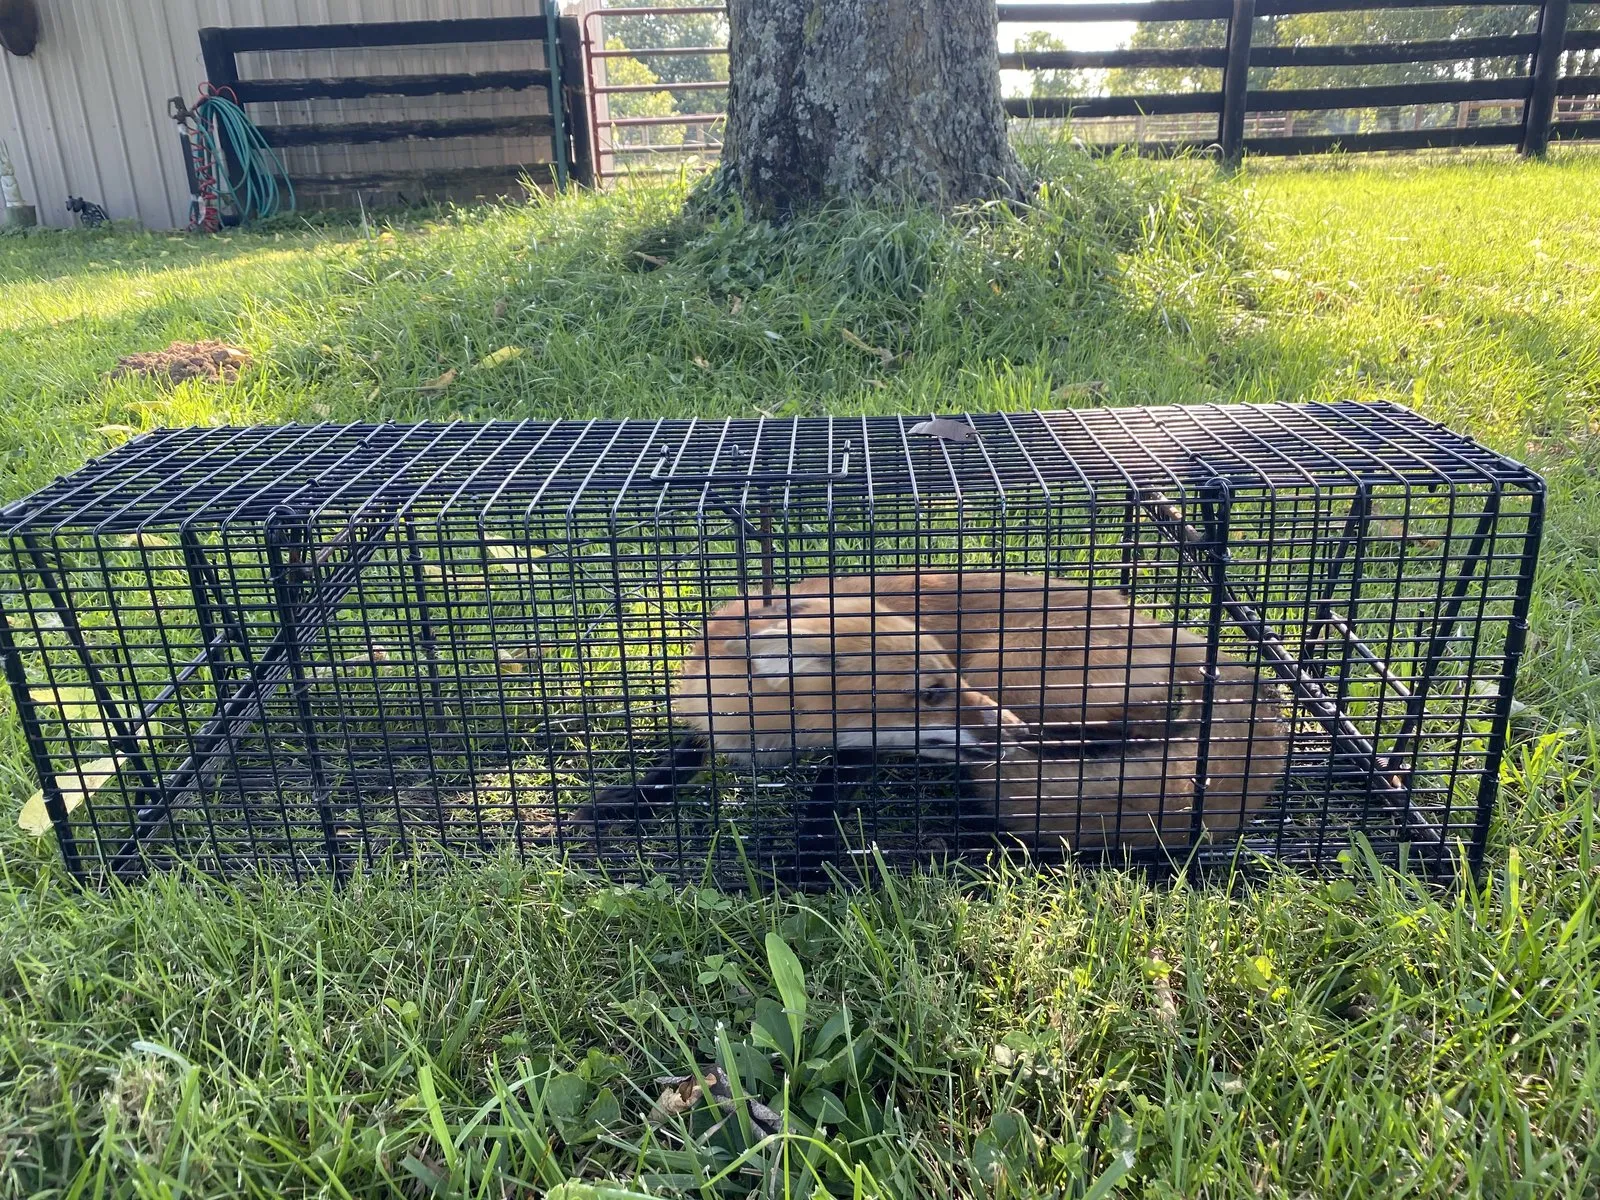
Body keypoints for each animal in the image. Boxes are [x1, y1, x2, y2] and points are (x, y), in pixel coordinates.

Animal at [574, 572, 1288, 852]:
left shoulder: (860, 748)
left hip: (1021, 674)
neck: (771, 740)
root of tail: (1171, 629)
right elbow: (673, 766)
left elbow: (825, 793)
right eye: (931, 691)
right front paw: (616, 805)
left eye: (948, 678)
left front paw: (803, 860)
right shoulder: (708, 722)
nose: (1012, 732)